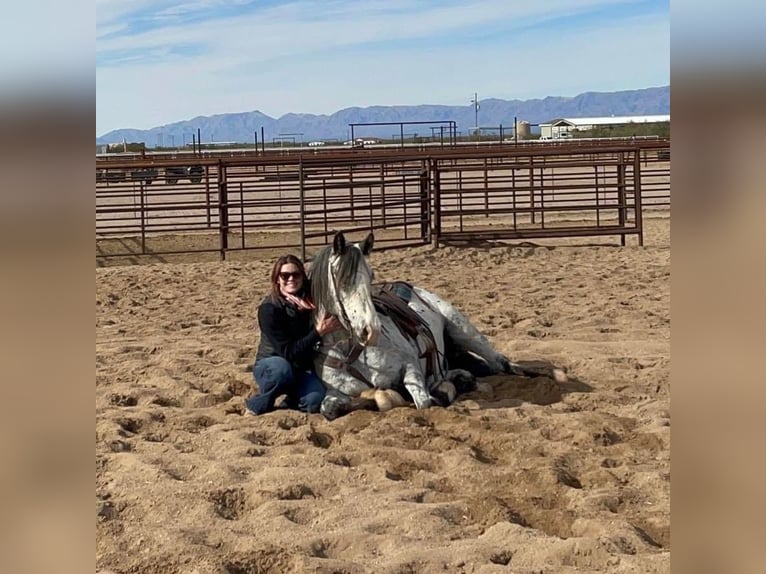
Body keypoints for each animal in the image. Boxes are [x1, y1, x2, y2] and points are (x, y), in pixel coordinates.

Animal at [308, 231, 568, 424]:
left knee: (504, 364)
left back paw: (555, 374)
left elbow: (424, 402)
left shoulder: (411, 366)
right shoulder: (336, 393)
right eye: (342, 279)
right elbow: (329, 409)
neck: (354, 353)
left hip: (466, 333)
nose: (371, 330)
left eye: (371, 276)